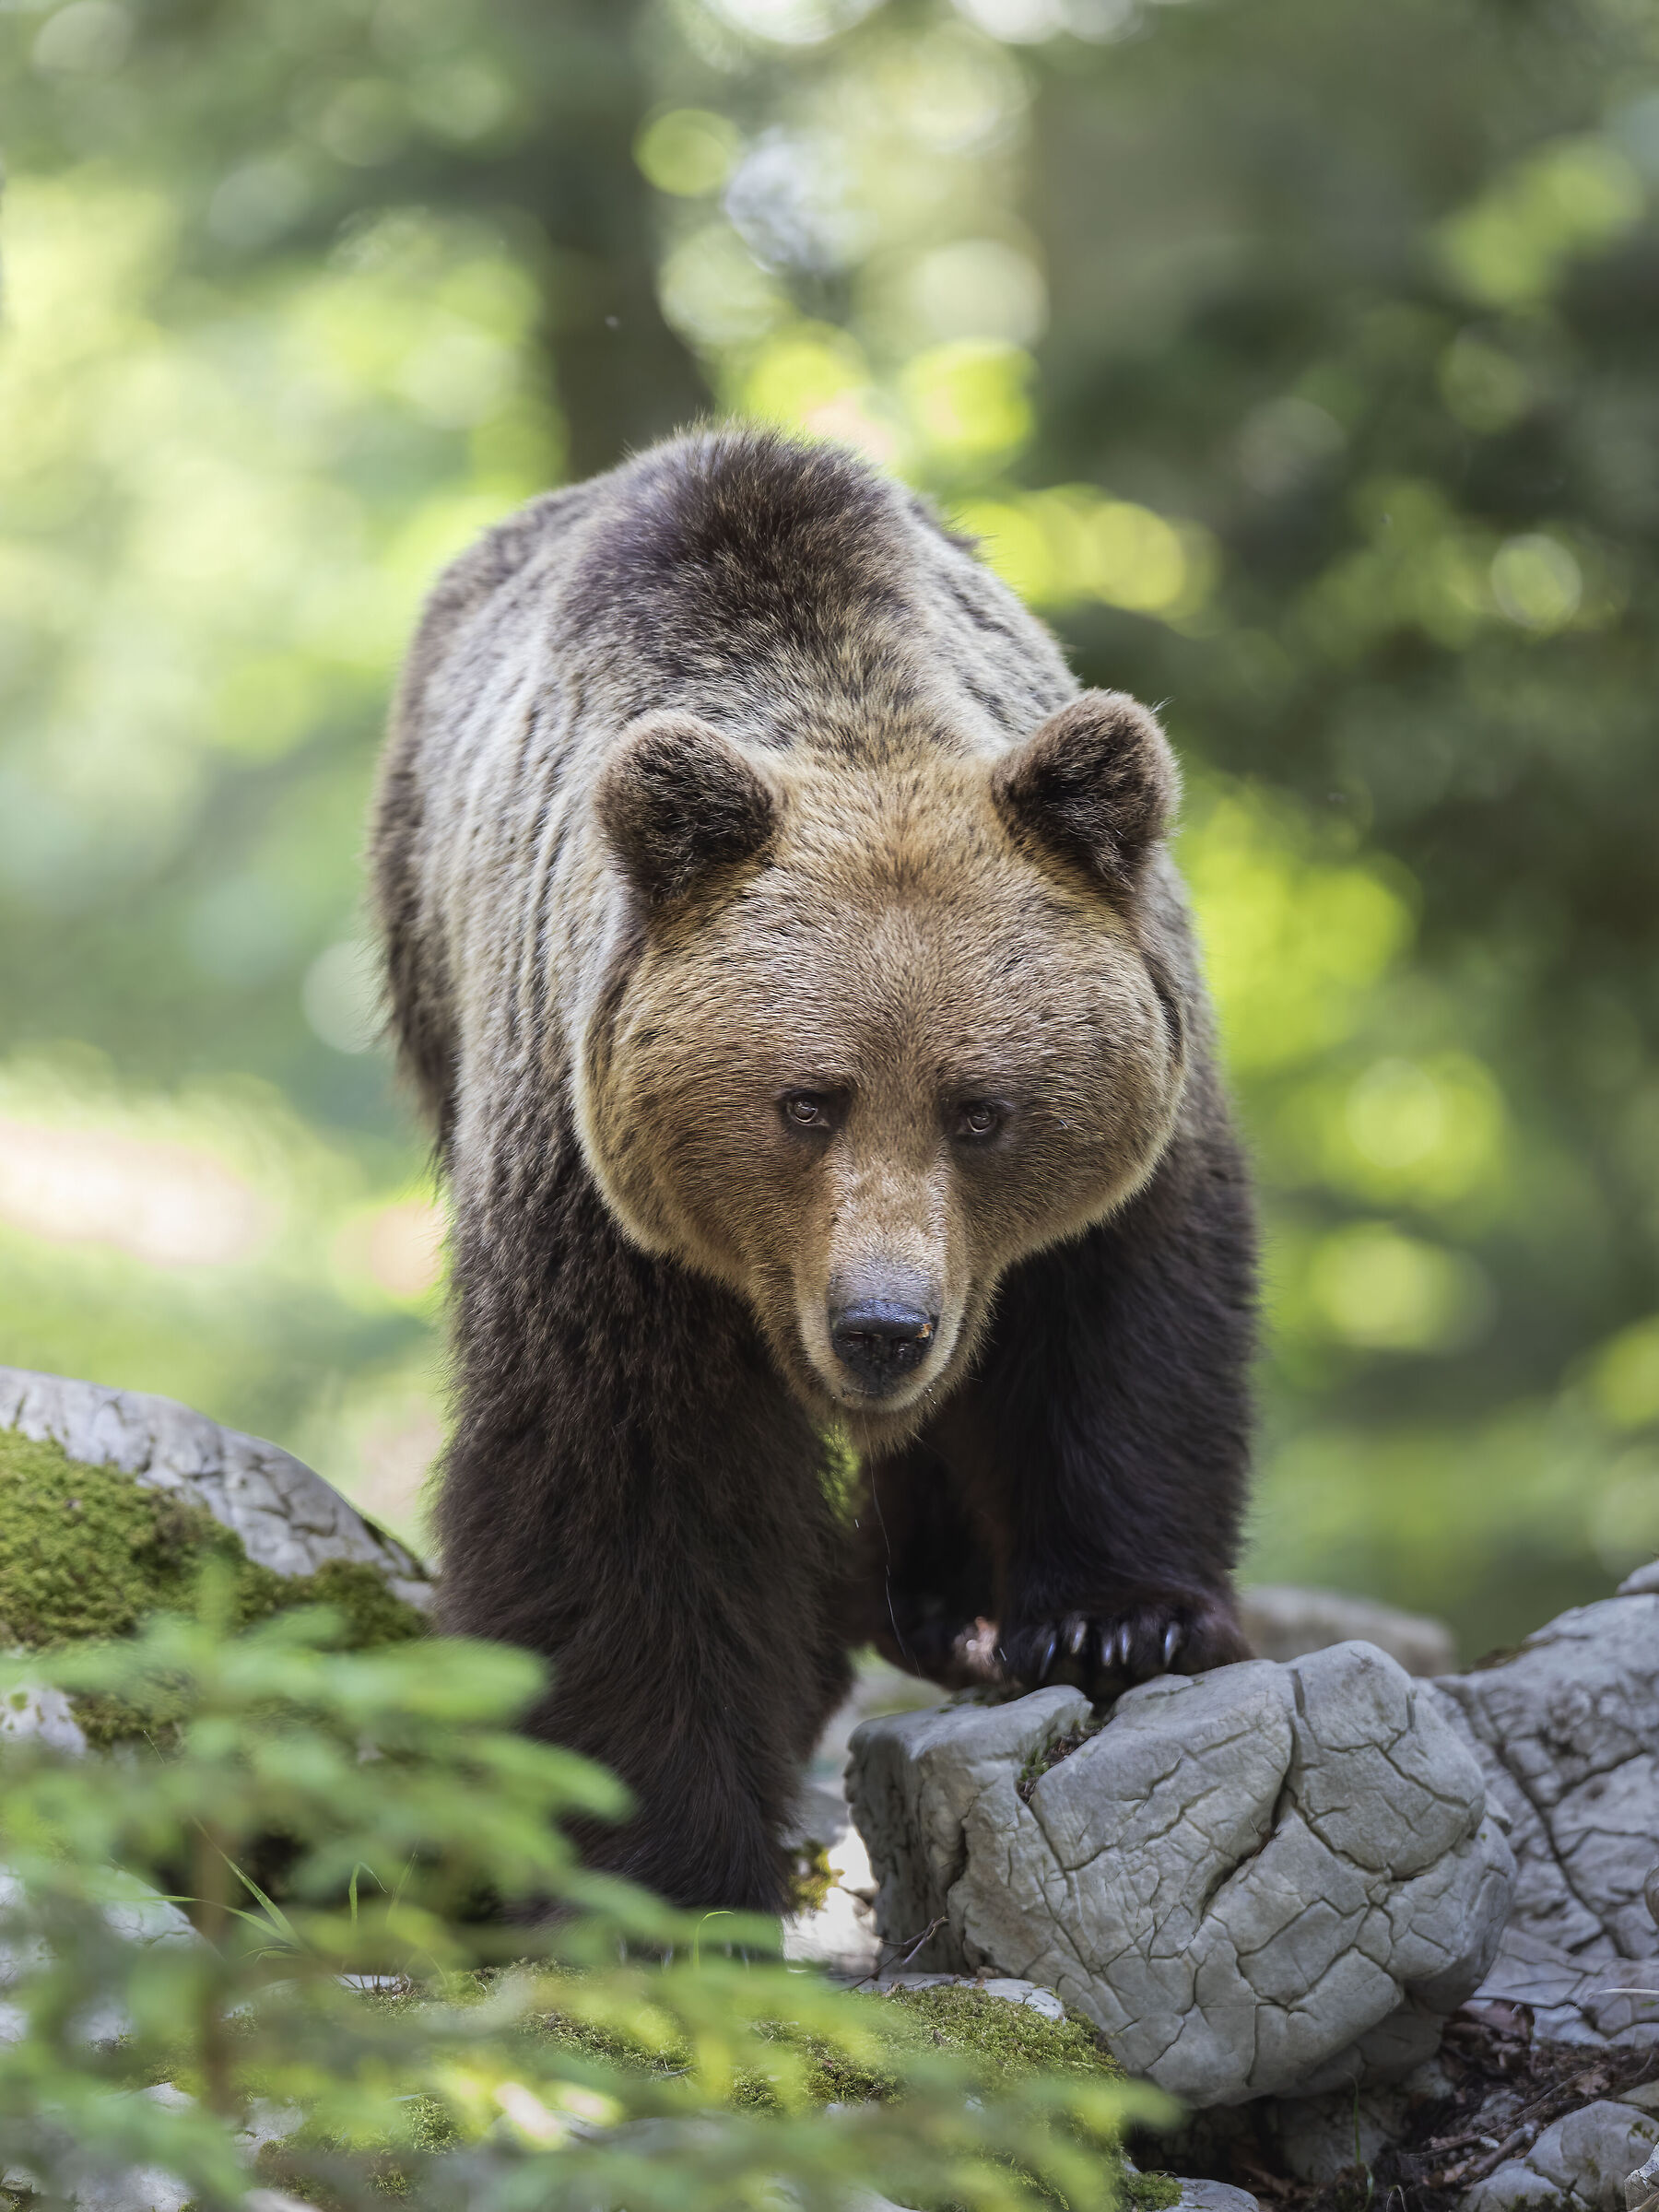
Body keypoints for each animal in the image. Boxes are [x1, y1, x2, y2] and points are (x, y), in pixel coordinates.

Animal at [371, 426, 1255, 1915]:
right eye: (806, 1102)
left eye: (981, 1109)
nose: (883, 1326)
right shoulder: (596, 1195)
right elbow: (628, 1486)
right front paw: (659, 1858)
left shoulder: (1125, 1145)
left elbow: (1116, 1332)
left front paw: (1115, 1622)